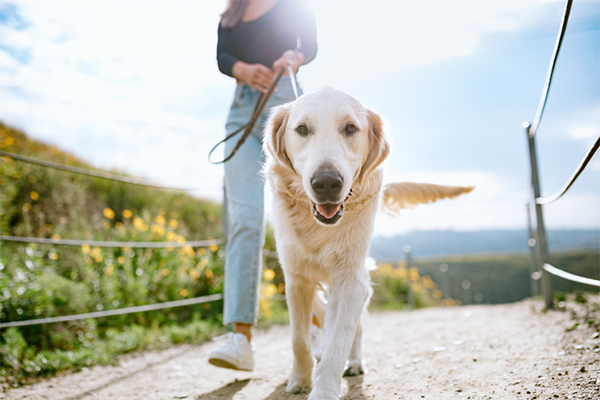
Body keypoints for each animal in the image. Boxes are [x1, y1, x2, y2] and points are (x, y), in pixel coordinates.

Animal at [262, 86, 474, 398]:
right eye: (302, 129)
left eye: (350, 128)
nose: (326, 183)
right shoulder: (296, 279)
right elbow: (298, 338)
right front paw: (300, 378)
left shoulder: (350, 279)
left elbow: (338, 340)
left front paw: (323, 389)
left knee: (356, 328)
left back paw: (355, 361)